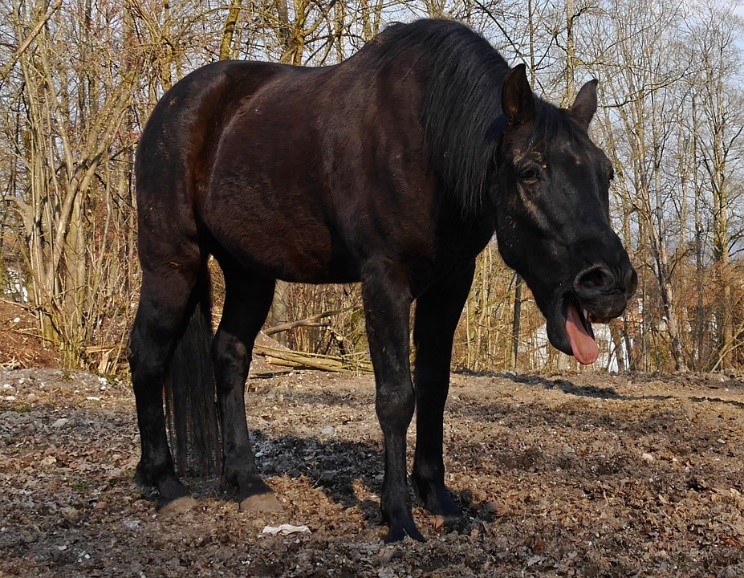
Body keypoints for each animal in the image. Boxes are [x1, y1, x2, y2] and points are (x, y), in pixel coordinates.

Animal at [129, 18, 637, 542]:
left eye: (606, 173)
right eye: (531, 171)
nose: (609, 283)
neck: (430, 142)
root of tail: (172, 105)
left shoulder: (450, 283)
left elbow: (434, 387)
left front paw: (438, 497)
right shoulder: (384, 281)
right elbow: (396, 397)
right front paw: (399, 516)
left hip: (248, 273)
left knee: (230, 357)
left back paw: (248, 482)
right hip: (172, 262)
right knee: (148, 354)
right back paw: (165, 482)